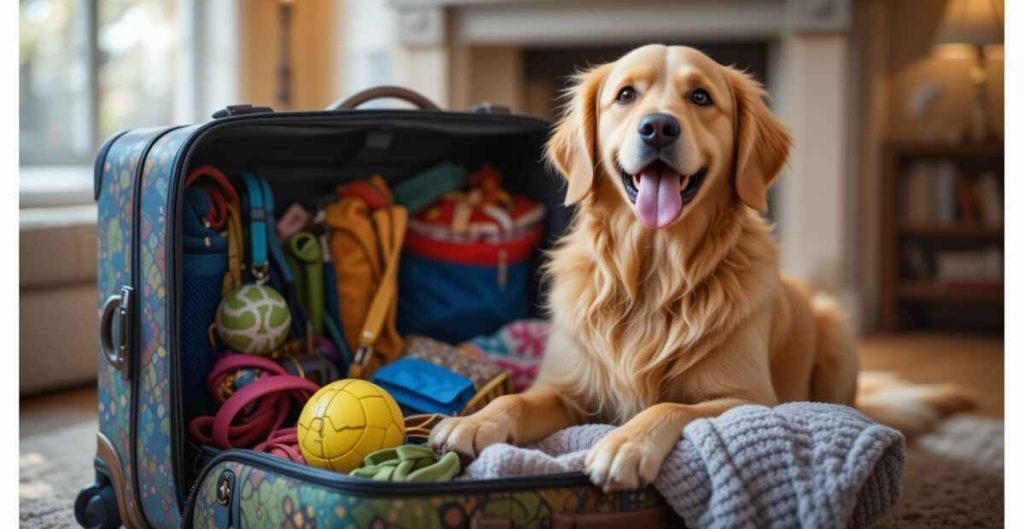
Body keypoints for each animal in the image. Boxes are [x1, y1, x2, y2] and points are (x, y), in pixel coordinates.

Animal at [428, 44, 970, 491]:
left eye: (702, 97)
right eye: (626, 95)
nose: (659, 127)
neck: (654, 270)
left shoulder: (751, 399)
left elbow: (671, 405)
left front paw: (624, 444)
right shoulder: (565, 389)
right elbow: (516, 399)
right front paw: (474, 422)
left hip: (835, 327)